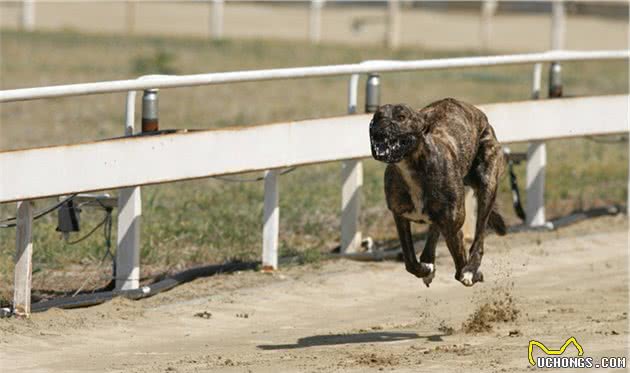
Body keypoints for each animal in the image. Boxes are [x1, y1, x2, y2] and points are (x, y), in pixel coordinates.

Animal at [370, 97, 508, 286]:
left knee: (479, 237)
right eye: (377, 116)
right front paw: (425, 268)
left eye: (401, 117)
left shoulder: (453, 225)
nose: (381, 127)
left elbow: (460, 265)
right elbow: (410, 261)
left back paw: (471, 269)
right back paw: (429, 262)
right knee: (435, 232)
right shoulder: (399, 216)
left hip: (487, 185)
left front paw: (471, 273)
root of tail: (479, 115)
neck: (412, 166)